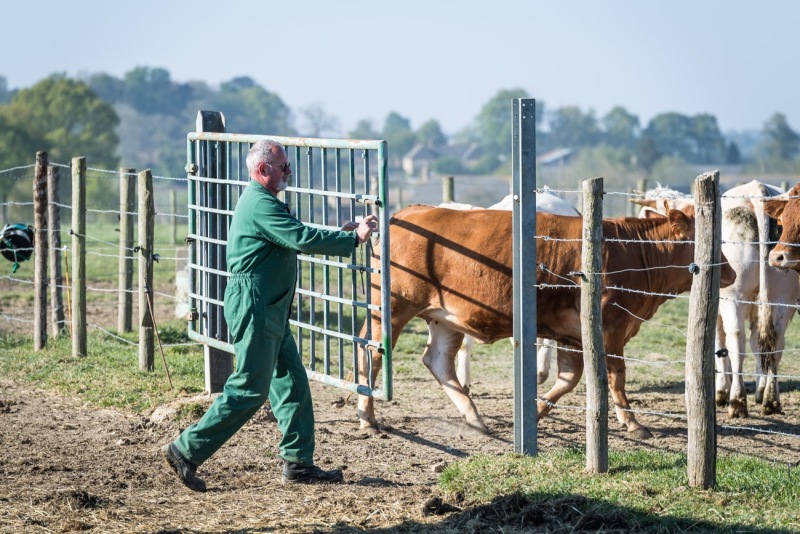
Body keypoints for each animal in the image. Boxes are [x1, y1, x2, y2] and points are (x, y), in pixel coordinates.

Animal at [636, 181, 796, 418]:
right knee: (775, 341)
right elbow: (758, 345)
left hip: (734, 297)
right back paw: (771, 400)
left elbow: (721, 347)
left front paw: (721, 392)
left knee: (737, 341)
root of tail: (755, 191)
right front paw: (759, 390)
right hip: (782, 298)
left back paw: (737, 402)